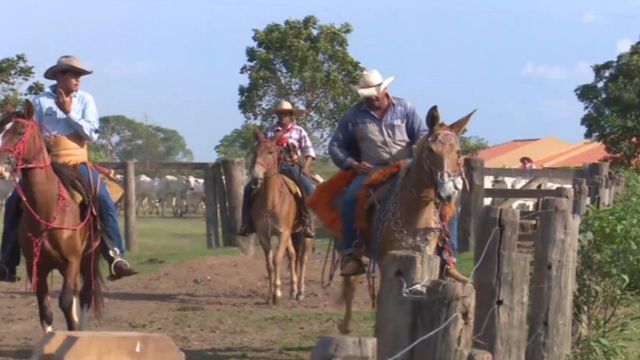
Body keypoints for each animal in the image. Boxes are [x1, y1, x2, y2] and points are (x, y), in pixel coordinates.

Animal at [0, 101, 104, 332]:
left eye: (20, 131)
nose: (1, 166)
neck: (47, 211)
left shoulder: (72, 260)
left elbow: (65, 303)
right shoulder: (36, 266)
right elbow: (45, 312)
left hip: (88, 259)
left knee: (85, 295)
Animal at [250, 129, 312, 304]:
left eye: (271, 152)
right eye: (255, 151)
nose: (256, 176)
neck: (271, 201)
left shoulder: (282, 233)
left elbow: (277, 258)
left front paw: (277, 293)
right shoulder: (264, 235)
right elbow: (269, 263)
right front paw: (269, 295)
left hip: (305, 236)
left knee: (302, 259)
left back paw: (301, 292)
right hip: (292, 234)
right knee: (293, 255)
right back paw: (293, 290)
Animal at [332, 105, 472, 334]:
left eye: (458, 152)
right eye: (430, 150)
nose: (447, 192)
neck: (415, 211)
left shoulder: (426, 255)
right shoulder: (387, 259)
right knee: (350, 282)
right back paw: (345, 325)